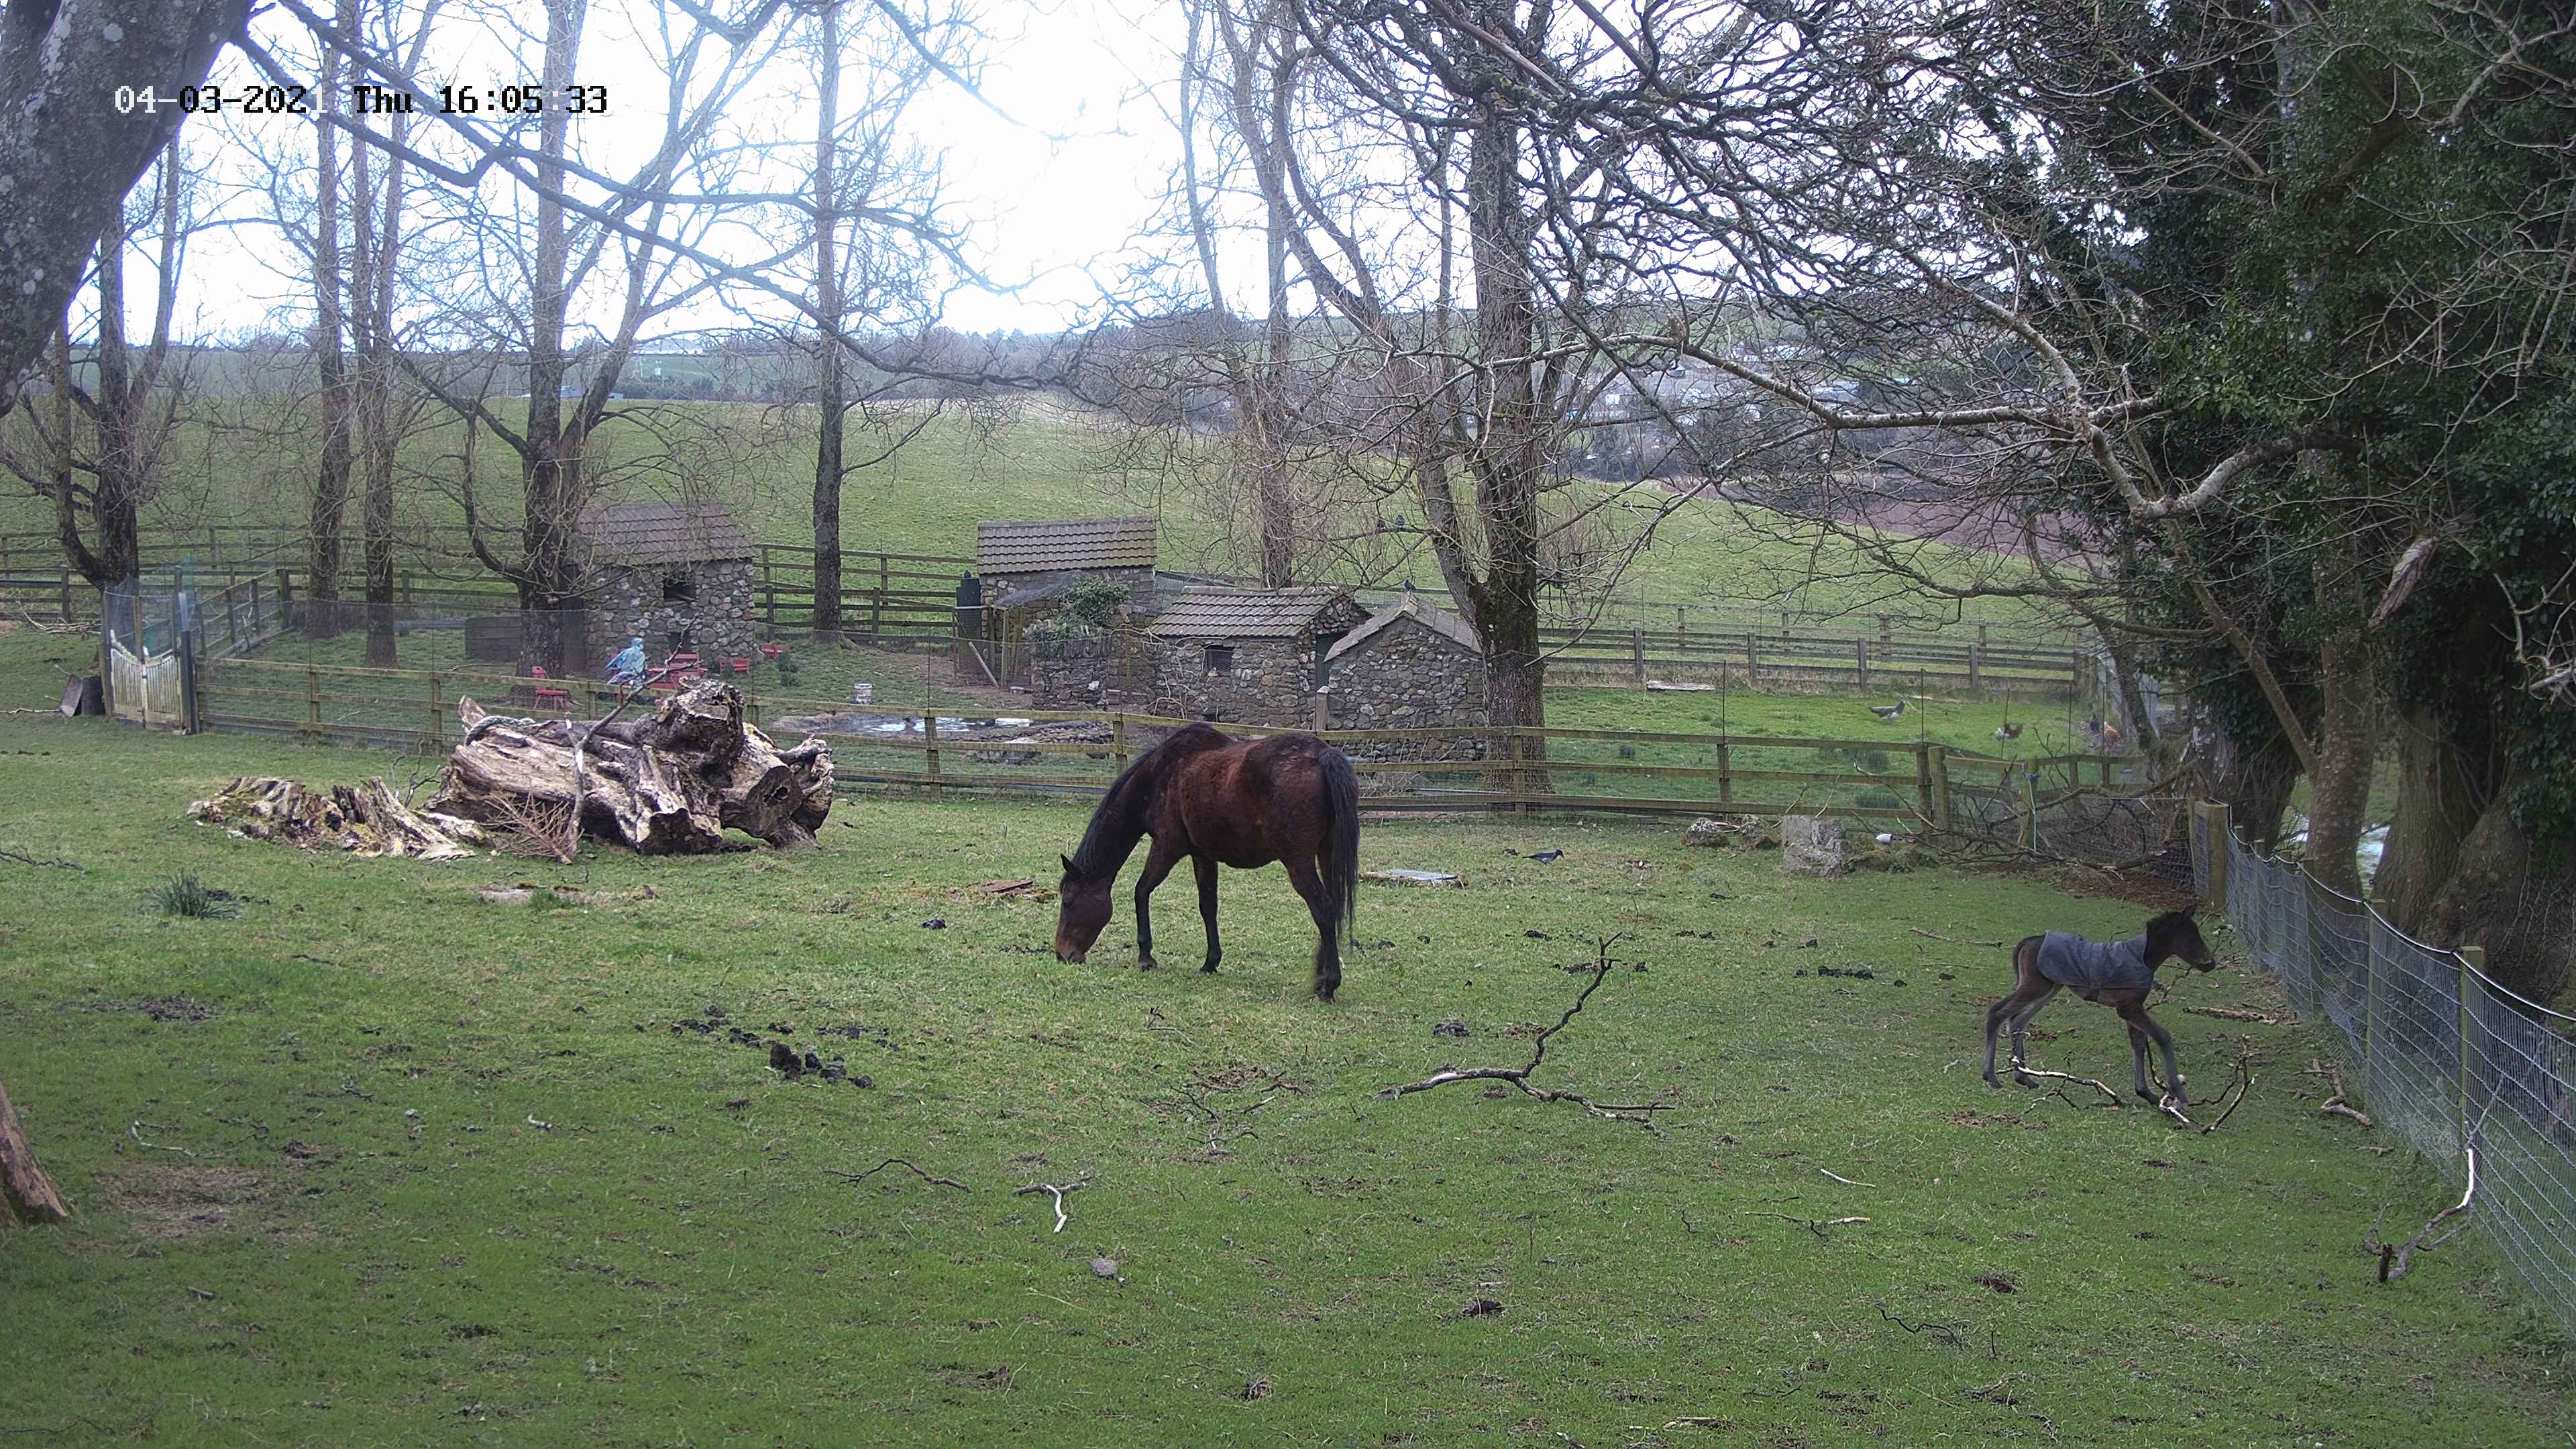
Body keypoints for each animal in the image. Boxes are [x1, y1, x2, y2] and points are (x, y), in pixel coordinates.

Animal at [1053, 723, 1360, 1001]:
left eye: (1068, 902)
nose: (1062, 954)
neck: (1162, 776)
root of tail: (1322, 755)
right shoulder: (1203, 855)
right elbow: (1208, 906)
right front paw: (1211, 962)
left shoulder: (1166, 847)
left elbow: (1141, 891)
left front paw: (1145, 956)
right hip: (1326, 854)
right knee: (1333, 908)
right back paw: (1320, 978)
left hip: (1299, 863)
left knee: (1323, 909)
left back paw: (1329, 985)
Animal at [1982, 906, 2220, 1103]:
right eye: (2190, 937)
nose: (2210, 963)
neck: (2142, 957)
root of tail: (2029, 940)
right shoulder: (2128, 1007)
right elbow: (2162, 1036)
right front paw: (2179, 1094)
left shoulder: (2132, 1007)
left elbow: (2138, 1043)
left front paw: (2146, 1092)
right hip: (2036, 986)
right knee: (1998, 1012)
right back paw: (1991, 1076)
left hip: (2050, 987)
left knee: (2018, 1020)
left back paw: (2024, 1078)